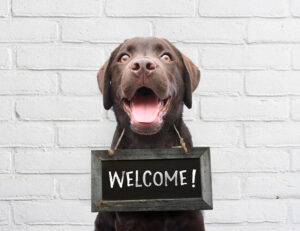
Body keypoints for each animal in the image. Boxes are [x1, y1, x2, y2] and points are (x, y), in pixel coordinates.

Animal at [95, 37, 204, 231]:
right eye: (124, 57)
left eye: (166, 57)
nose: (143, 65)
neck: (151, 144)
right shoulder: (128, 220)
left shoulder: (193, 217)